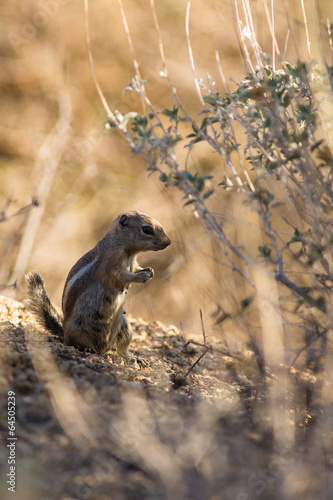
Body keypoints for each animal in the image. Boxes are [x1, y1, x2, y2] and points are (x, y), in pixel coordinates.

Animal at [26, 211, 170, 356]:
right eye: (147, 229)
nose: (168, 242)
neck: (129, 252)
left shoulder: (133, 263)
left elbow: (135, 268)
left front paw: (149, 270)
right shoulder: (110, 265)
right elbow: (119, 277)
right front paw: (142, 276)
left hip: (124, 326)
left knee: (122, 348)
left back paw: (130, 356)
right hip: (78, 329)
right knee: (75, 342)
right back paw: (87, 348)